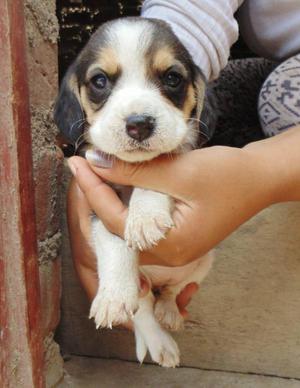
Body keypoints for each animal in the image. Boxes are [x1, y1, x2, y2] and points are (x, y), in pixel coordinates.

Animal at [54, 17, 216, 366]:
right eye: (100, 81)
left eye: (172, 78)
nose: (139, 124)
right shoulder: (97, 206)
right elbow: (114, 241)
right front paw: (113, 295)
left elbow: (157, 173)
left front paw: (145, 216)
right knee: (143, 304)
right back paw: (157, 340)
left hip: (203, 262)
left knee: (170, 291)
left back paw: (169, 312)